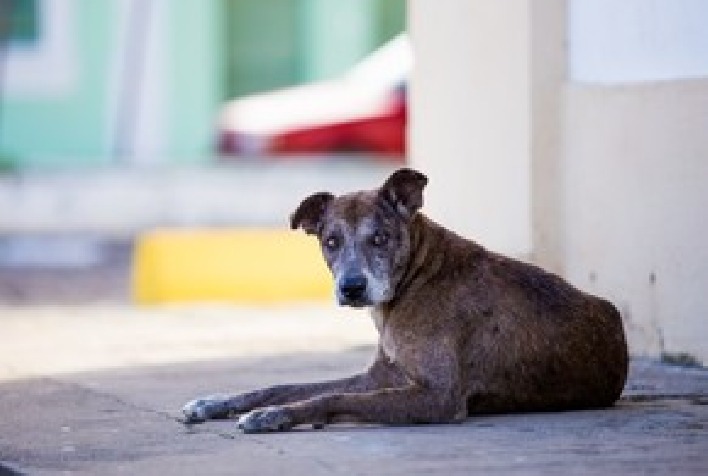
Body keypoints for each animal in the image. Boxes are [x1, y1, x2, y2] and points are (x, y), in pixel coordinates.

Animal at [184, 169, 632, 434]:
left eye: (380, 237)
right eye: (331, 241)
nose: (351, 287)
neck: (419, 277)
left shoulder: (437, 396)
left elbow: (332, 397)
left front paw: (276, 416)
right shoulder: (381, 376)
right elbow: (284, 386)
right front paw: (215, 402)